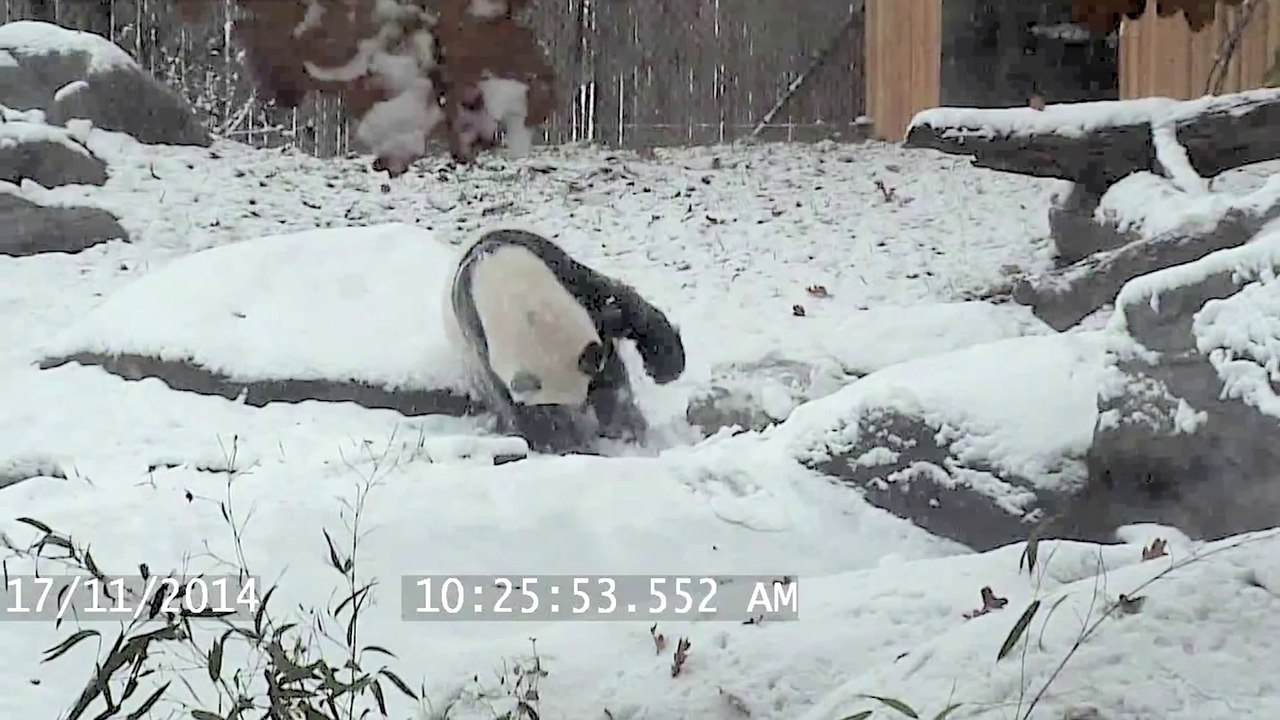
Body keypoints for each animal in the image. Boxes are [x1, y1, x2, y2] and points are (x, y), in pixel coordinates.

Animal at [442, 227, 686, 454]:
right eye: (553, 406)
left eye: (593, 384)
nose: (584, 409)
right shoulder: (481, 344)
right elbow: (518, 409)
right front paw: (566, 442)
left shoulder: (561, 273)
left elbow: (621, 305)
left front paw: (664, 367)